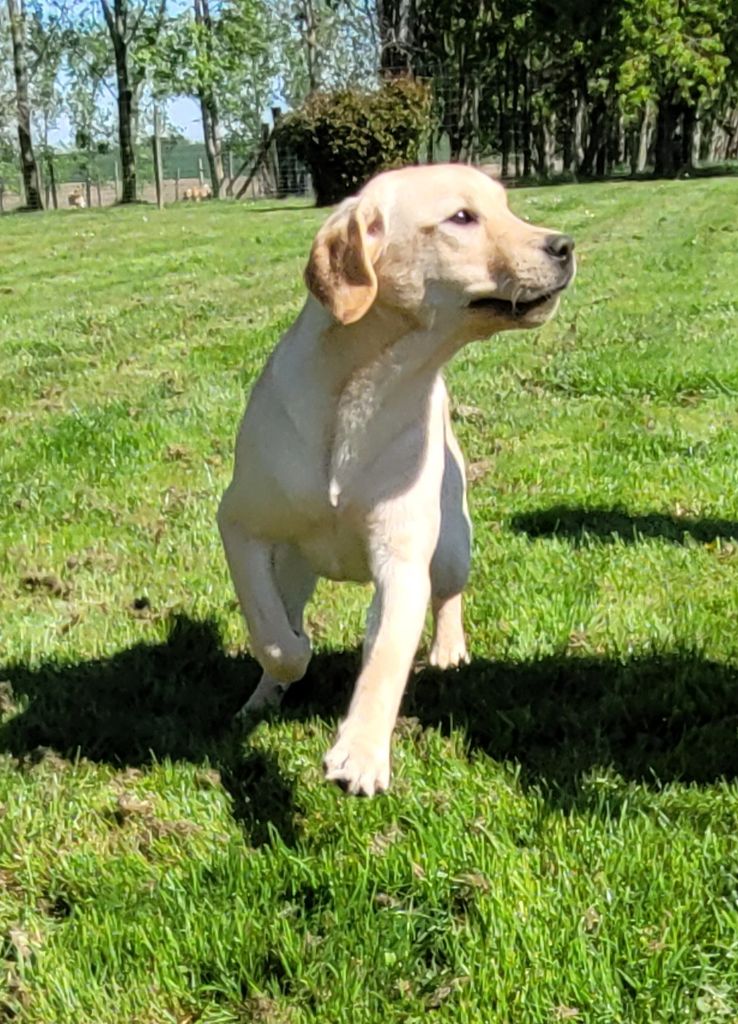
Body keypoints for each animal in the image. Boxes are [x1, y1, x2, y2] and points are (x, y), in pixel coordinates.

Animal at [218, 163, 574, 795]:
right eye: (462, 217)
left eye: (507, 207)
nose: (564, 246)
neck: (368, 389)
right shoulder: (239, 523)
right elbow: (272, 635)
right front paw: (288, 664)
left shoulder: (403, 559)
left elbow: (385, 655)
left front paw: (361, 753)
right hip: (294, 566)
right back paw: (262, 696)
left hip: (453, 542)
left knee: (449, 594)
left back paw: (449, 650)